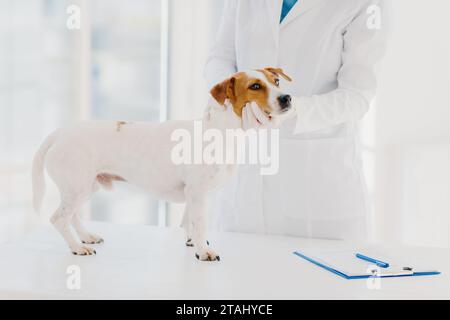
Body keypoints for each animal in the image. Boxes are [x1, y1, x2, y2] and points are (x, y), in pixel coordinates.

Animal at [30, 67, 296, 260]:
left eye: (276, 81)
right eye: (255, 86)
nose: (287, 98)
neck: (219, 131)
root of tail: (60, 133)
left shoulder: (193, 195)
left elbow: (190, 222)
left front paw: (193, 242)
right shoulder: (198, 193)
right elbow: (200, 224)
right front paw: (203, 251)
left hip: (85, 187)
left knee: (72, 215)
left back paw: (86, 237)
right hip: (78, 187)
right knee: (59, 218)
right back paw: (77, 247)